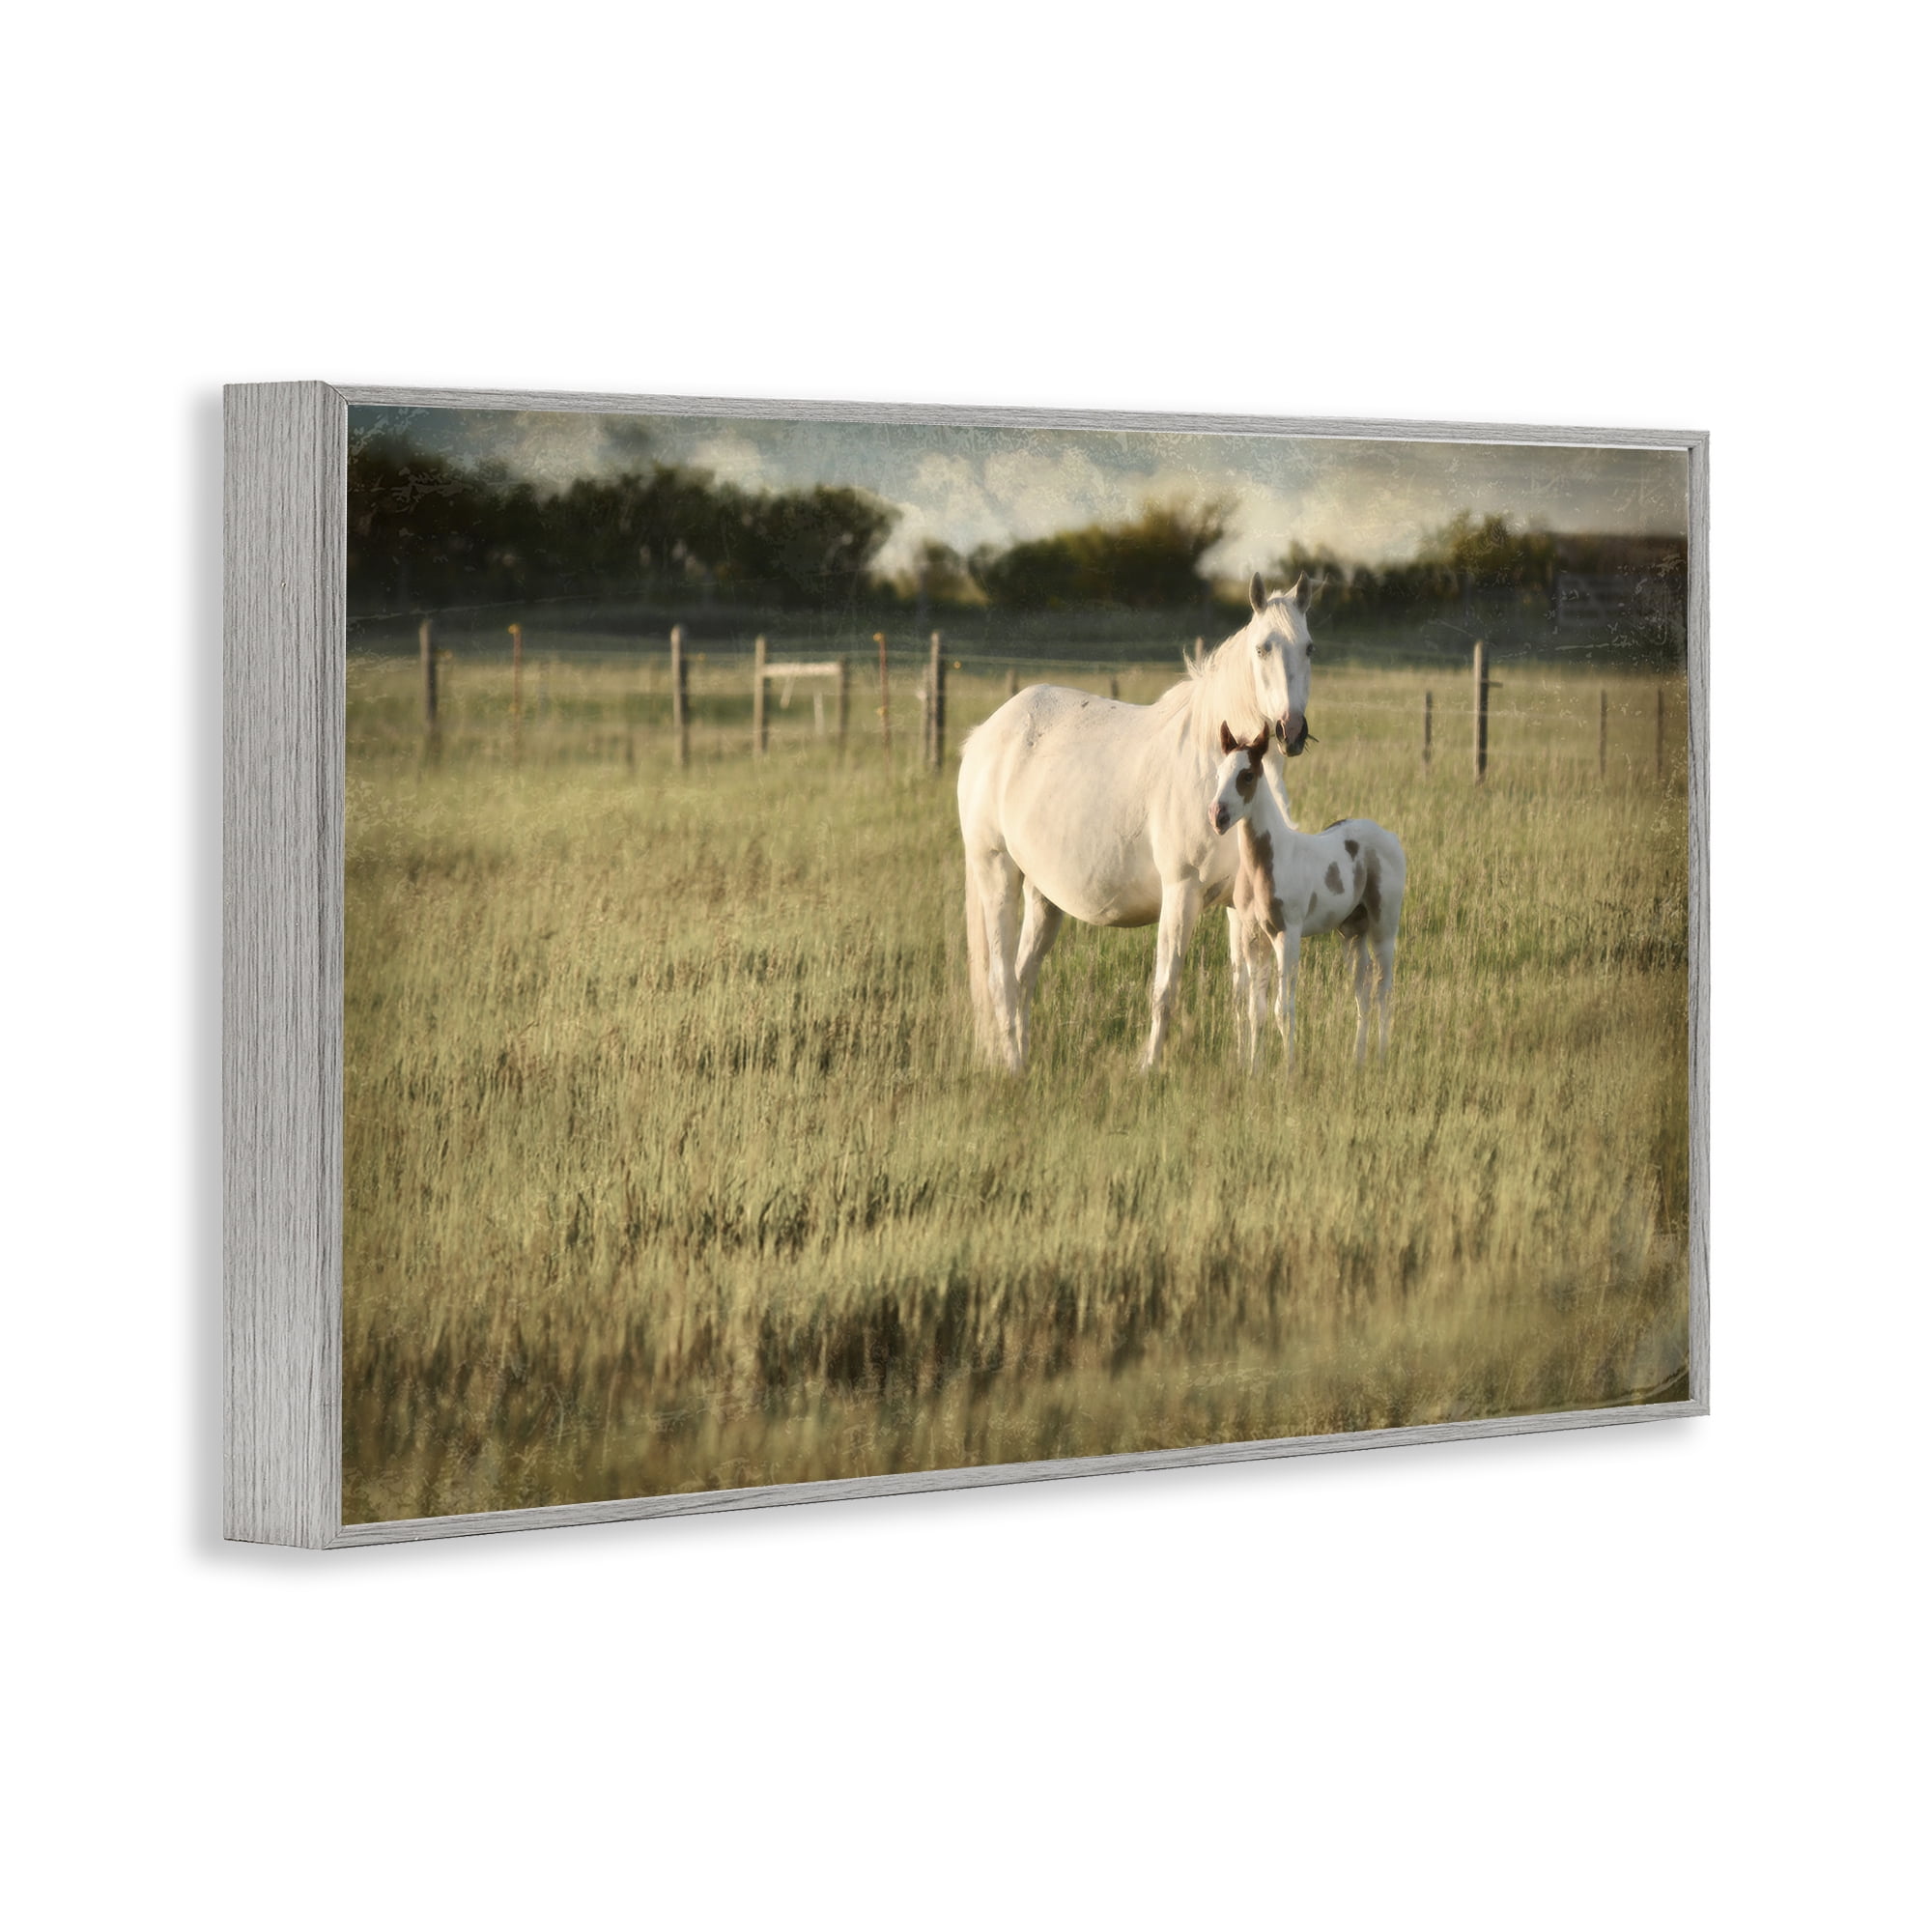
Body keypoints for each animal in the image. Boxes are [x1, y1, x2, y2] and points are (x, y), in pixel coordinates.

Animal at [957, 572, 1316, 1072]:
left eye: (1309, 648)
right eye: (1262, 648)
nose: (1291, 731)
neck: (1210, 764)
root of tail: (985, 735)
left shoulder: (1237, 904)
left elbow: (1247, 992)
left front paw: (1247, 1065)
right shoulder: (1181, 892)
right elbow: (1165, 988)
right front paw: (1149, 1067)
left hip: (1043, 896)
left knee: (1023, 974)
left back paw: (1024, 1060)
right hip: (996, 875)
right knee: (1001, 981)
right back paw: (1012, 1066)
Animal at [1210, 723, 1406, 1073]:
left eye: (1247, 775)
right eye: (1219, 773)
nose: (1217, 816)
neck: (1265, 863)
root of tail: (1390, 837)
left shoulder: (1287, 935)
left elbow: (1283, 1009)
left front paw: (1289, 1070)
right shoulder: (1253, 937)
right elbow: (1256, 1010)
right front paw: (1254, 1069)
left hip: (1384, 927)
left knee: (1383, 988)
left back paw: (1381, 1056)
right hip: (1352, 932)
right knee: (1363, 989)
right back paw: (1358, 1059)